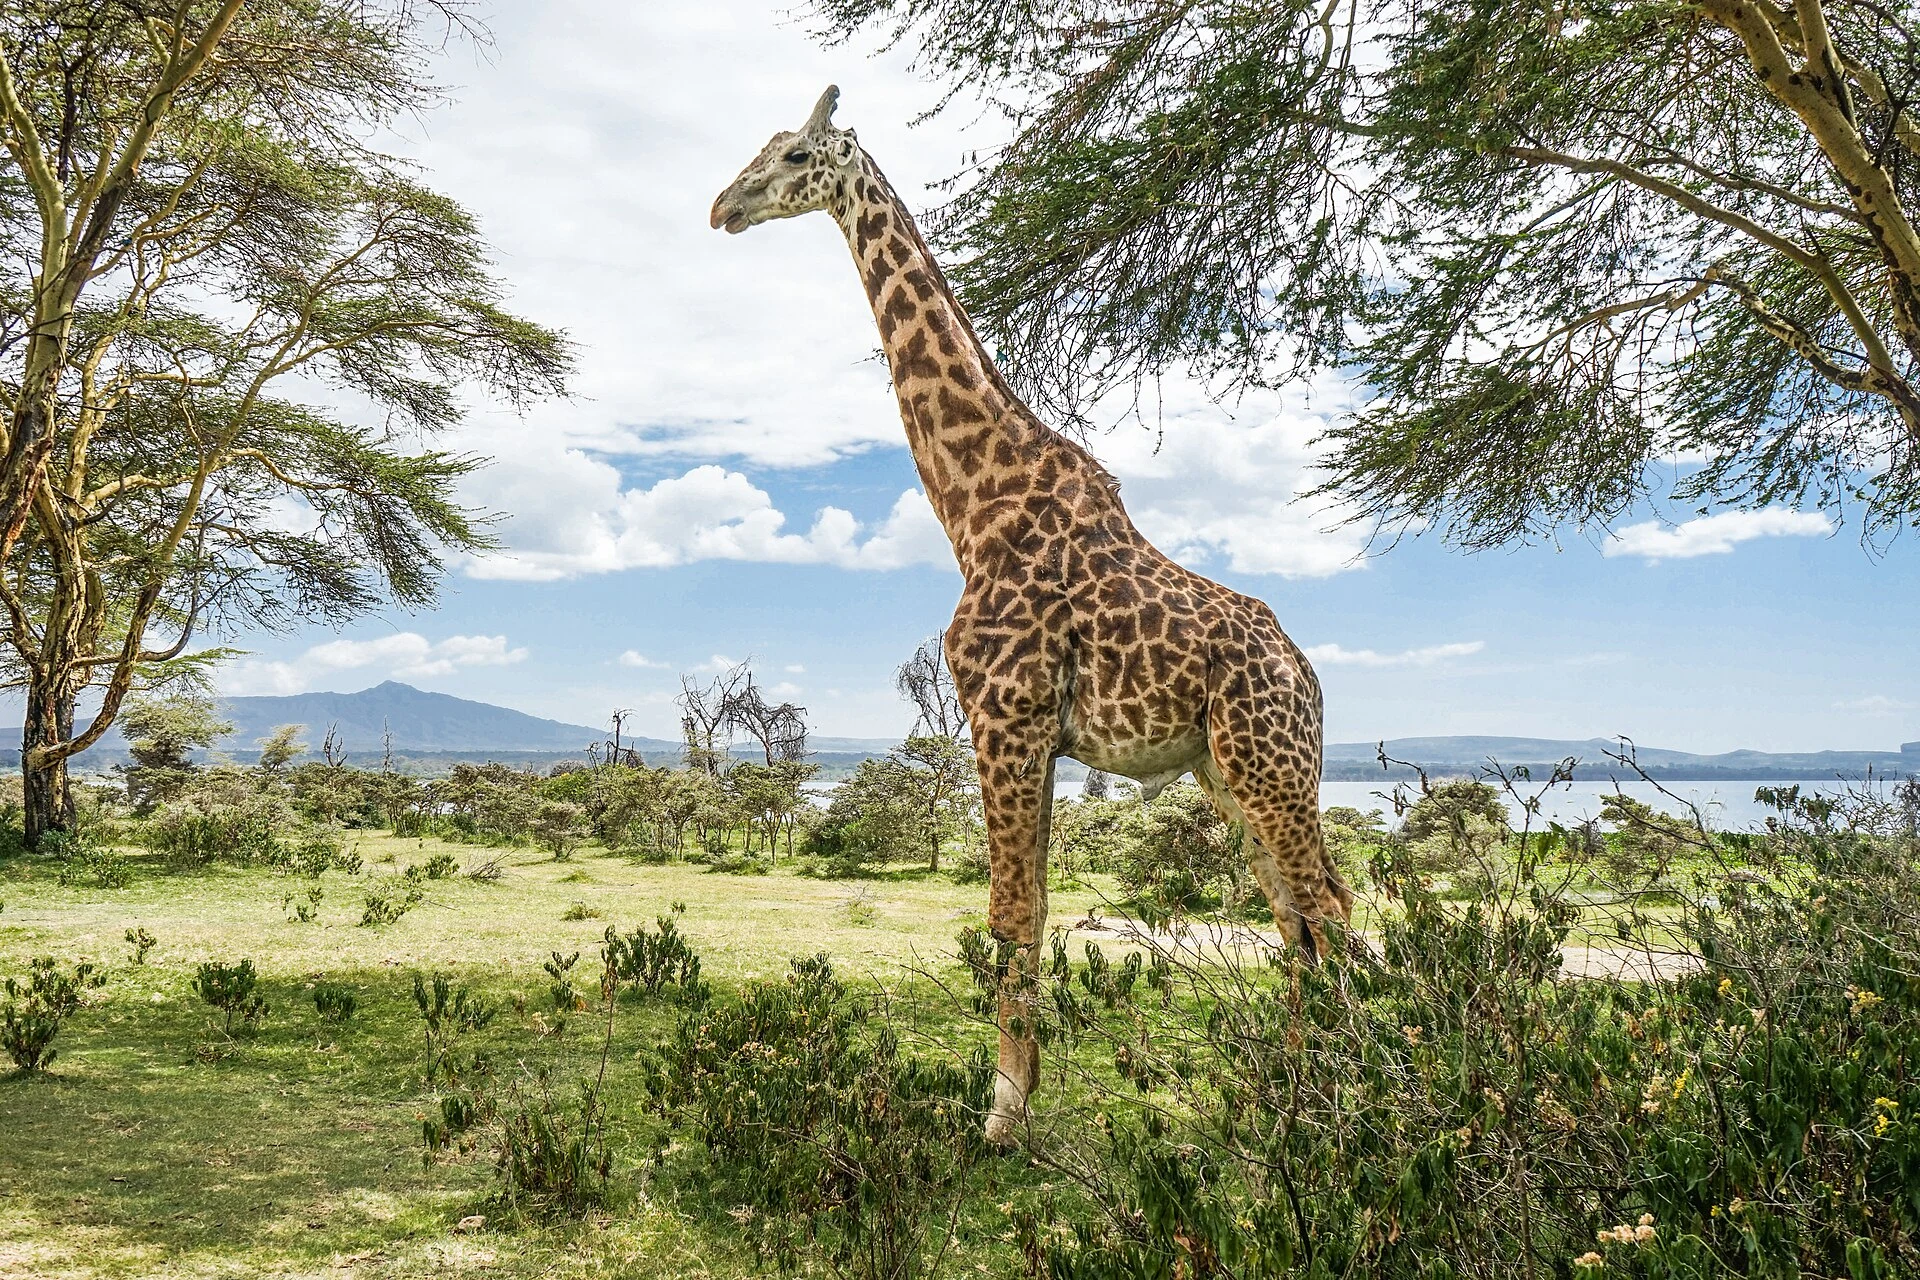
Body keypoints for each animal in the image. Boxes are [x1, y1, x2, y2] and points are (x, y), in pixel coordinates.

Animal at [711, 87, 1353, 1145]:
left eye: (796, 154)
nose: (723, 205)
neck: (975, 505)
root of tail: (1307, 676)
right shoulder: (1035, 734)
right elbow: (1036, 908)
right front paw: (1028, 1090)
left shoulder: (1003, 715)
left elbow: (1011, 914)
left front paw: (1002, 1114)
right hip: (1228, 769)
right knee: (1298, 913)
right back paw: (1294, 1096)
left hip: (1270, 763)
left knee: (1328, 908)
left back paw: (1351, 1102)